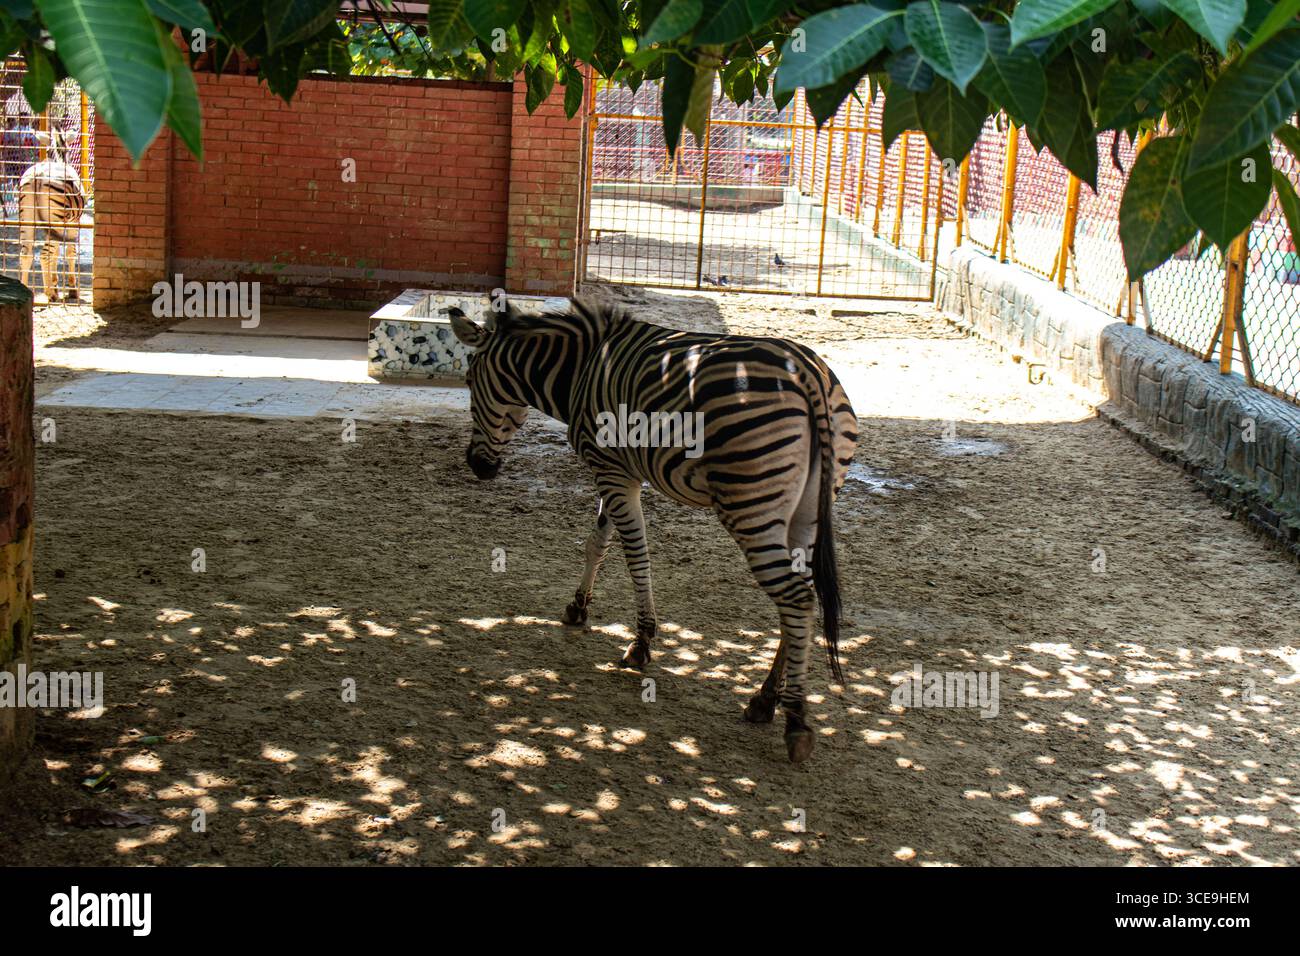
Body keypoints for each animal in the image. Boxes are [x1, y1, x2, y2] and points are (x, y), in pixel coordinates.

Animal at [18, 128, 86, 303]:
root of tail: (38, 174)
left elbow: (57, 254)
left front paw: (55, 284)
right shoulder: (74, 223)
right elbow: (70, 253)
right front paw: (72, 289)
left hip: (27, 218)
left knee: (26, 254)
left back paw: (26, 290)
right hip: (56, 221)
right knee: (44, 255)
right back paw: (50, 293)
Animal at [449, 298, 859, 763]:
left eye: (468, 381)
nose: (478, 468)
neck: (579, 369)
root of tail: (809, 373)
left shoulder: (611, 469)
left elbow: (634, 555)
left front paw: (642, 642)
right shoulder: (619, 470)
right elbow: (597, 542)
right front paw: (577, 608)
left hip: (750, 505)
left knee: (796, 597)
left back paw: (795, 719)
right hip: (806, 510)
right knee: (802, 595)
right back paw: (764, 698)